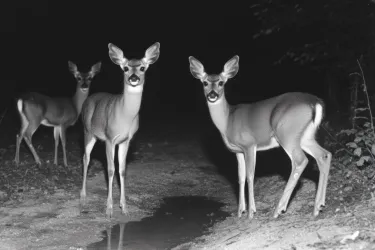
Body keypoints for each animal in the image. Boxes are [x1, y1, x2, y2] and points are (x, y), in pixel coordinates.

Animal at [81, 42, 160, 218]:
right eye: (125, 68)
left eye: (142, 68)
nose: (133, 78)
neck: (125, 115)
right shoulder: (110, 138)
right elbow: (110, 170)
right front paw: (109, 209)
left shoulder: (125, 140)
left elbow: (122, 170)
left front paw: (124, 207)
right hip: (88, 132)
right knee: (85, 158)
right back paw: (82, 195)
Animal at [189, 55, 334, 219]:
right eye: (205, 82)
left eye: (221, 82)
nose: (212, 95)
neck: (227, 121)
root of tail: (315, 103)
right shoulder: (237, 151)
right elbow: (240, 178)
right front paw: (240, 211)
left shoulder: (249, 144)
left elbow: (250, 176)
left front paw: (251, 212)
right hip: (305, 137)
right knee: (324, 155)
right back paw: (318, 206)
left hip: (286, 133)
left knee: (300, 161)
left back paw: (279, 209)